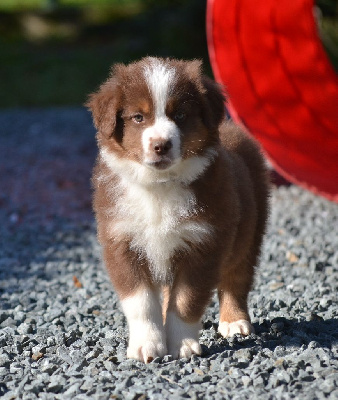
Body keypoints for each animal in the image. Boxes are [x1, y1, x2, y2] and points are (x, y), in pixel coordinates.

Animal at [86, 57, 270, 364]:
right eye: (138, 117)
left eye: (181, 115)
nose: (161, 145)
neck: (159, 186)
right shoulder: (123, 241)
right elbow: (141, 302)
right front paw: (147, 345)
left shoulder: (203, 243)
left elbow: (186, 300)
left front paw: (182, 345)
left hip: (249, 232)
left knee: (236, 277)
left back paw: (234, 321)